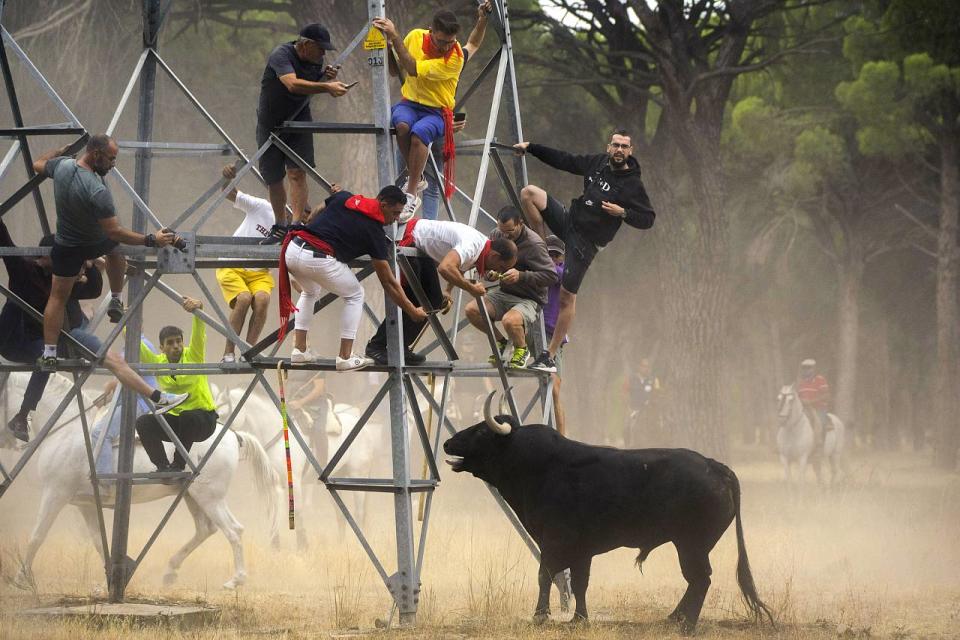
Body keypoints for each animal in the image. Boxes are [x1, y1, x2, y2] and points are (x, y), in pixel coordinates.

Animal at [3, 372, 280, 592]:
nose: (11, 438)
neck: (66, 431)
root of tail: (233, 435)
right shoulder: (85, 505)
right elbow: (97, 541)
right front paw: (111, 578)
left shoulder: (55, 494)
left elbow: (37, 536)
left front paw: (21, 579)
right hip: (192, 496)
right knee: (205, 529)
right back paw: (170, 571)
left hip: (210, 498)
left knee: (233, 530)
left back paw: (235, 580)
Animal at [442, 392, 772, 632]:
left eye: (481, 431)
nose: (447, 442)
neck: (538, 466)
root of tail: (715, 466)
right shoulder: (581, 550)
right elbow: (580, 582)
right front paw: (579, 618)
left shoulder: (553, 543)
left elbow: (545, 576)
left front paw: (540, 615)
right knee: (696, 581)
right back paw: (674, 617)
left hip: (691, 545)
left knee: (701, 579)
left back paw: (685, 624)